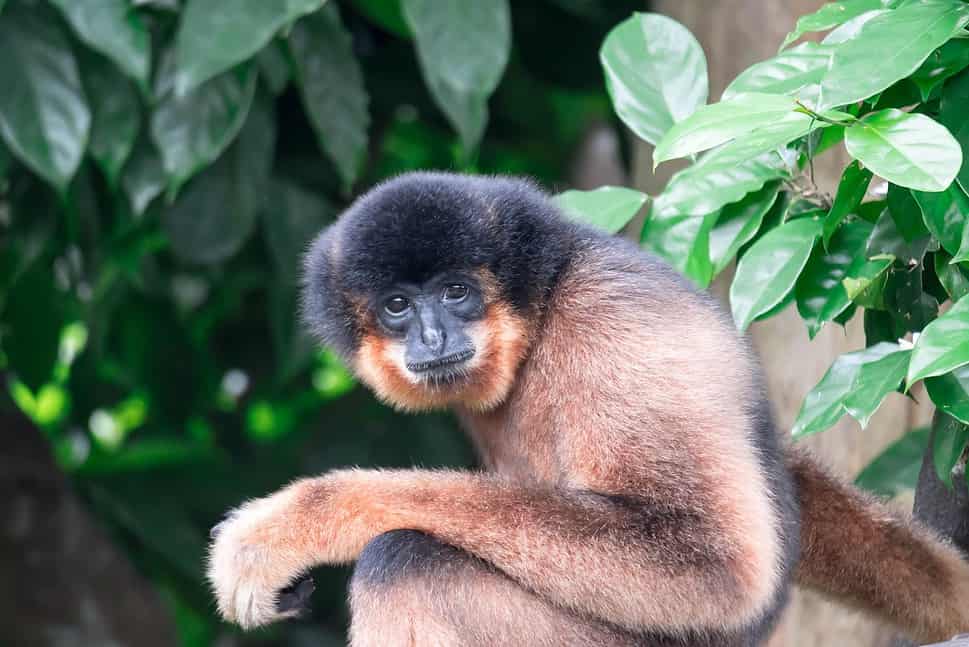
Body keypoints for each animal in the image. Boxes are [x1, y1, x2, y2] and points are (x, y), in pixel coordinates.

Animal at [207, 172, 969, 646]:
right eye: (397, 305)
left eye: (455, 292)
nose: (432, 336)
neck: (543, 312)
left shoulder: (614, 330)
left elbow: (710, 563)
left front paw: (291, 526)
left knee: (406, 561)